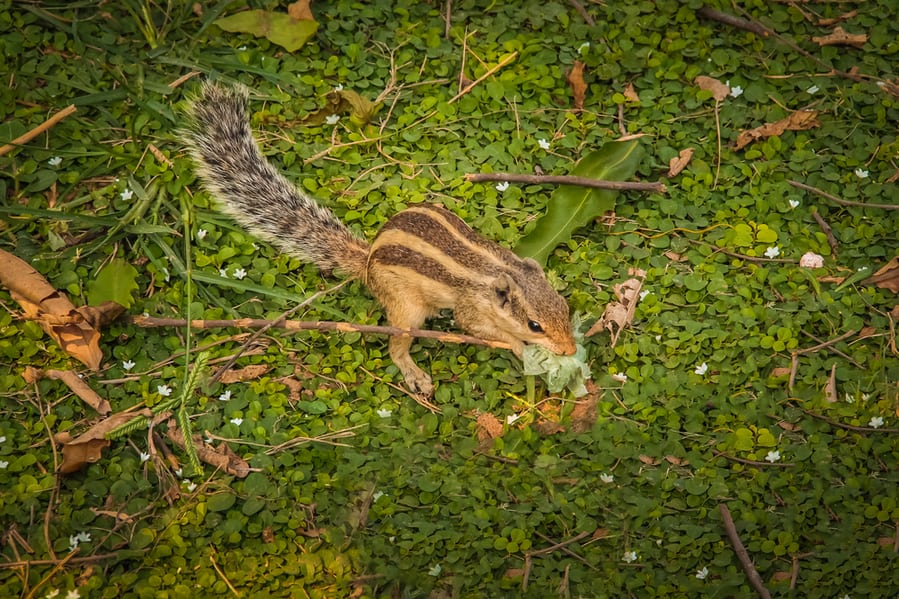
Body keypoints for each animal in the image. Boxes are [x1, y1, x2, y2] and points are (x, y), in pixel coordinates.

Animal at [187, 82, 576, 396]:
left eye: (565, 307)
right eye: (535, 325)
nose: (570, 350)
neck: (498, 269)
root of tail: (368, 260)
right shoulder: (470, 309)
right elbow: (477, 328)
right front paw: (519, 346)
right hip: (404, 308)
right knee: (396, 346)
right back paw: (414, 373)